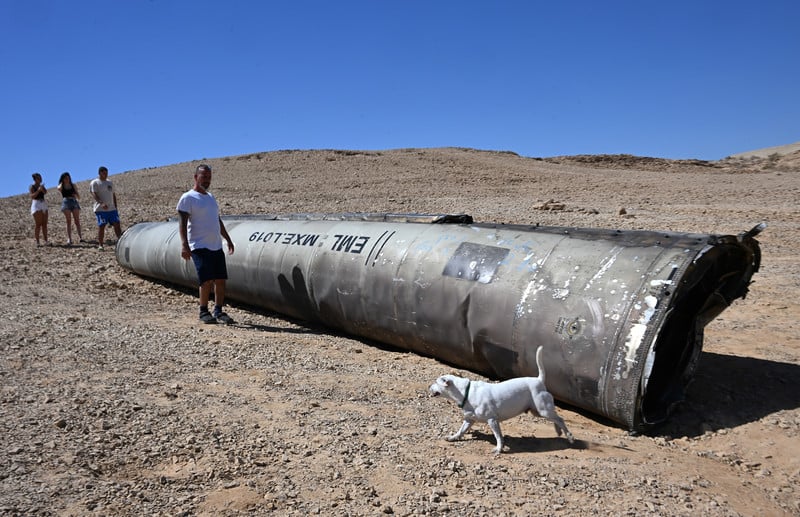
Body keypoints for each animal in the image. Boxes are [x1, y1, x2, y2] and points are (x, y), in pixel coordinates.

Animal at [428, 346, 572, 452]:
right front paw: (453, 437)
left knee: (560, 419)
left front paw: (498, 449)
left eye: (436, 382)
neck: (466, 392)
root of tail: (539, 380)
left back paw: (570, 437)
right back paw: (559, 431)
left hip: (543, 410)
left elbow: (498, 436)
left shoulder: (492, 420)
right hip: (537, 411)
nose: (429, 386)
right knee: (556, 419)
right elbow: (461, 430)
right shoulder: (469, 419)